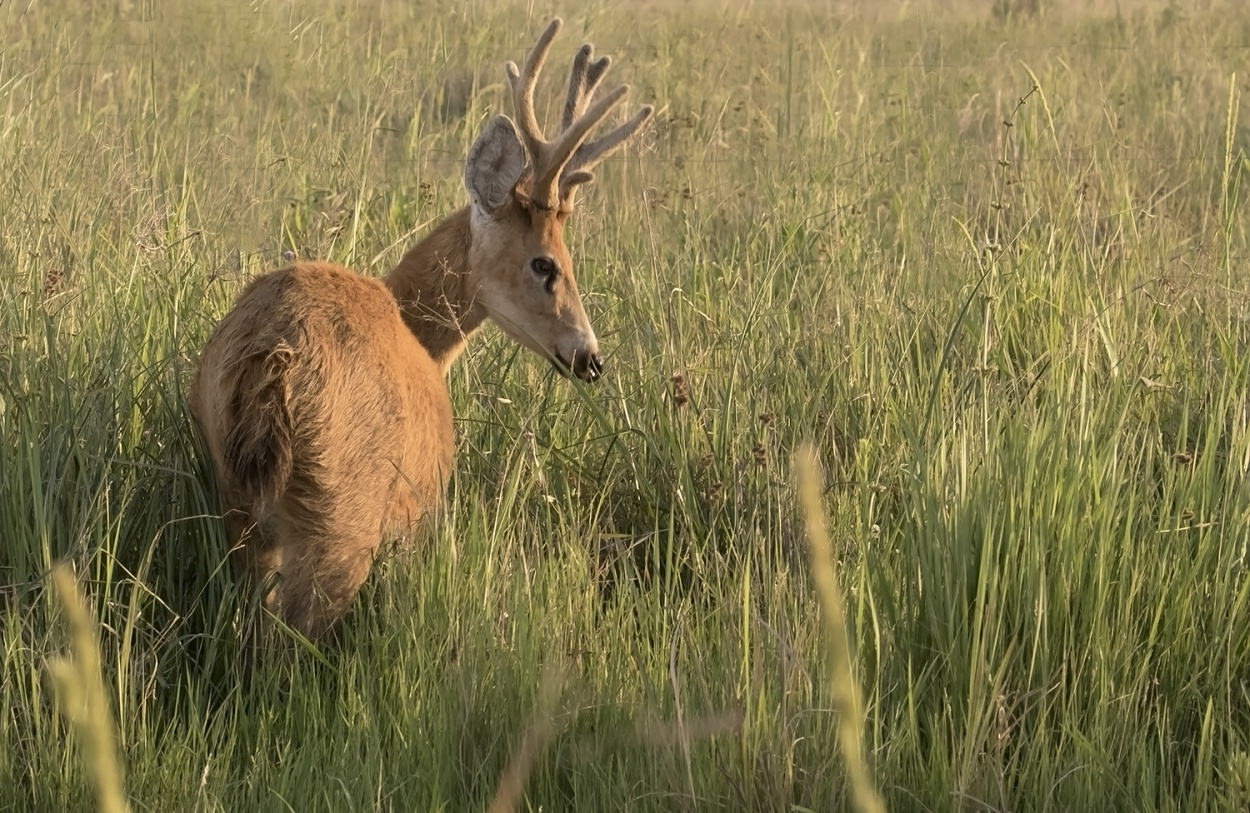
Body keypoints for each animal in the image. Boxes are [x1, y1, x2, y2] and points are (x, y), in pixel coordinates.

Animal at [190, 18, 655, 640]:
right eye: (546, 265)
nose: (591, 358)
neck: (421, 338)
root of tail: (273, 360)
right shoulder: (420, 503)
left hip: (234, 498)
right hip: (343, 519)